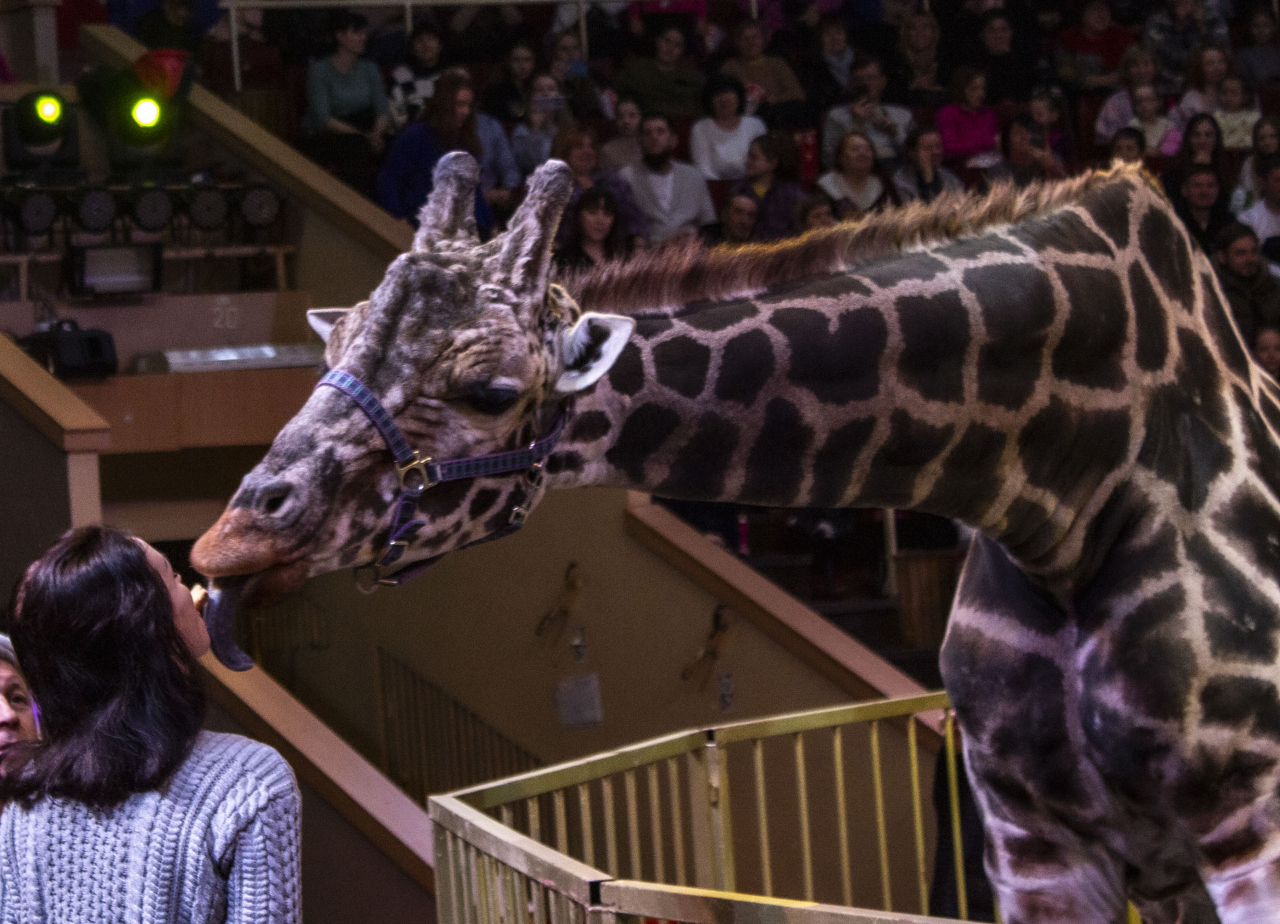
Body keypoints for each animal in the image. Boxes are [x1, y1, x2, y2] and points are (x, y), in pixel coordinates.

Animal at [192, 153, 1280, 924]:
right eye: (329, 351)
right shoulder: (1035, 841)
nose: (228, 544)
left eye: (491, 391)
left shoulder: (1246, 821)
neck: (1065, 491)